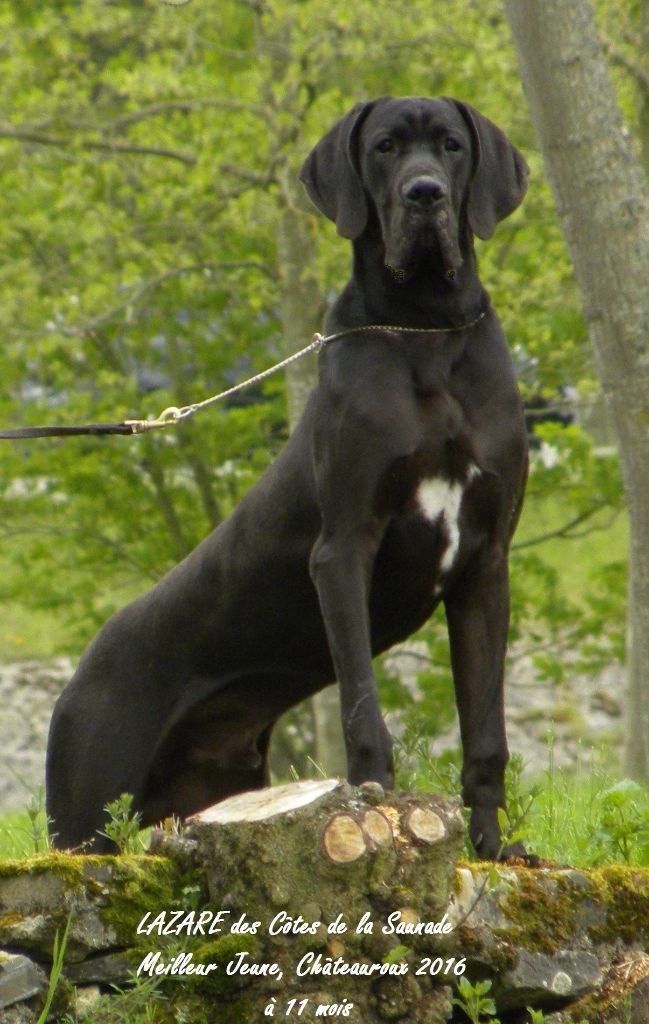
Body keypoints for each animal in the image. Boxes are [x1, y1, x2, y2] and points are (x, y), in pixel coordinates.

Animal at [46, 96, 529, 859]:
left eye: (451, 146)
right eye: (385, 148)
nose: (424, 194)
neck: (425, 329)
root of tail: (78, 675)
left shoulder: (486, 562)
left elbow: (485, 731)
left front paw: (490, 847)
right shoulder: (343, 548)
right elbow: (362, 707)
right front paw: (376, 808)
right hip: (86, 811)